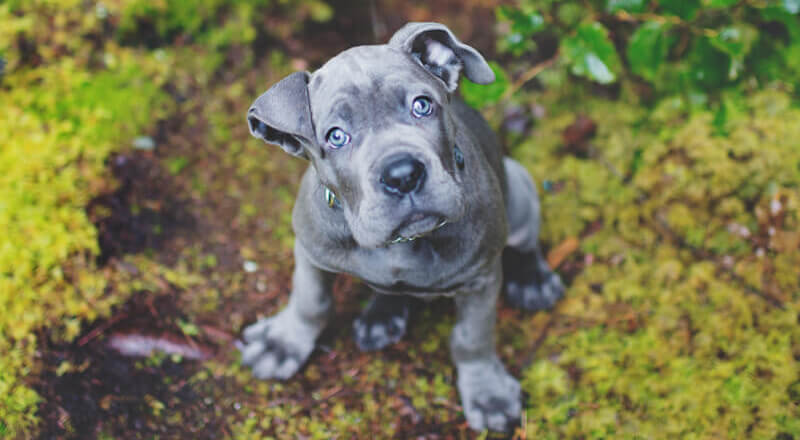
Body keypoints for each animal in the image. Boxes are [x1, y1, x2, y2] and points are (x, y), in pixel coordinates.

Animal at [242, 22, 564, 432]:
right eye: (336, 136)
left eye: (421, 105)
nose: (402, 174)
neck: (405, 243)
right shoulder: (310, 250)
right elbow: (309, 301)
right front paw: (282, 343)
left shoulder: (482, 277)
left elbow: (473, 338)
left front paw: (488, 394)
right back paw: (382, 316)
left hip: (519, 187)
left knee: (525, 242)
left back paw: (533, 282)